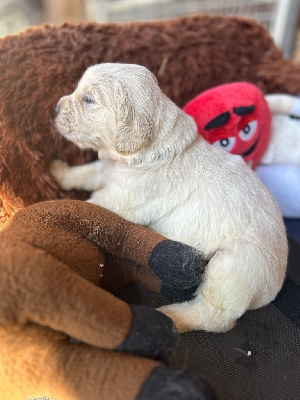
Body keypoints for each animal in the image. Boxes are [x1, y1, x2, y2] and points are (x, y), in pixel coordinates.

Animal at [52, 64, 288, 332]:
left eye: (89, 100)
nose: (56, 107)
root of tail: (273, 289)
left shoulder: (120, 199)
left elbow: (85, 205)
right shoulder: (109, 171)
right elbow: (86, 172)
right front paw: (59, 172)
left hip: (232, 267)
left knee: (216, 317)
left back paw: (171, 315)